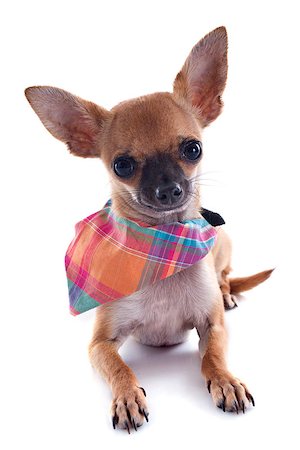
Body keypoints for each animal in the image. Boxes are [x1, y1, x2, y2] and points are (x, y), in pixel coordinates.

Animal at [25, 27, 272, 432]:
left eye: (193, 149)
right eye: (122, 165)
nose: (169, 189)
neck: (163, 247)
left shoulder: (213, 327)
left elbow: (212, 357)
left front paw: (225, 381)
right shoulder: (100, 344)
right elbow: (120, 368)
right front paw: (127, 397)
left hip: (223, 241)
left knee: (225, 274)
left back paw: (227, 293)